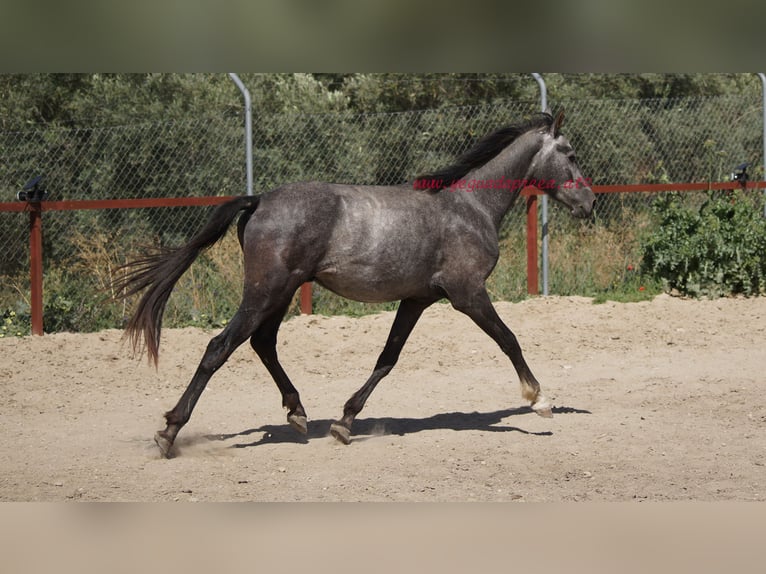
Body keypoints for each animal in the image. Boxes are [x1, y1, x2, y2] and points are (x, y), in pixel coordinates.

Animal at [117, 109, 600, 460]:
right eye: (571, 153)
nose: (590, 204)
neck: (471, 207)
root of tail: (259, 201)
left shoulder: (417, 299)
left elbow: (388, 358)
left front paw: (344, 423)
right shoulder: (468, 294)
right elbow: (509, 339)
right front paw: (539, 400)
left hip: (281, 292)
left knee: (263, 344)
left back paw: (298, 414)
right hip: (265, 290)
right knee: (221, 346)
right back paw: (169, 432)